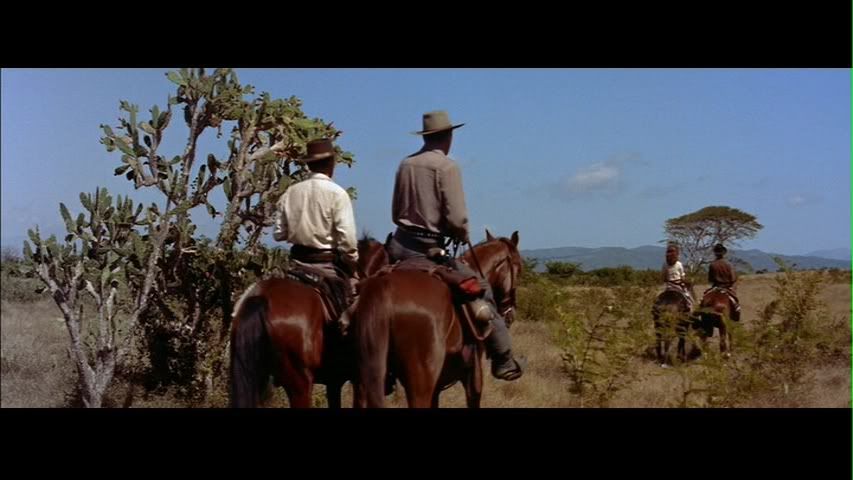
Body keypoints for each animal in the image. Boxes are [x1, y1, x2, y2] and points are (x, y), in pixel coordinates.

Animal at [350, 229, 522, 408]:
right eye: (518, 268)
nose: (510, 315)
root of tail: (384, 291)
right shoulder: (473, 378)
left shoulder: (438, 386)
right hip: (420, 380)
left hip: (364, 380)